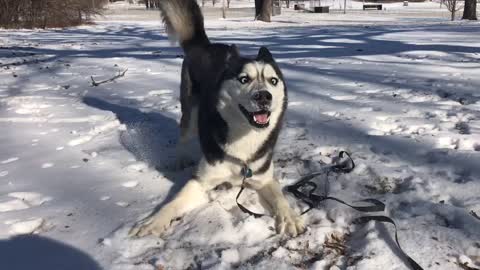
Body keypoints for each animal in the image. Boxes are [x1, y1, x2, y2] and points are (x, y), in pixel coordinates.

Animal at [131, 0, 304, 237]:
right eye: (244, 79)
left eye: (273, 81)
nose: (263, 96)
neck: (244, 140)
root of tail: (205, 46)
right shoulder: (201, 180)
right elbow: (173, 203)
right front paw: (155, 220)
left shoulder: (264, 178)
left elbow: (280, 198)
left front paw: (290, 217)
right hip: (190, 112)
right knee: (184, 134)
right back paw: (181, 158)